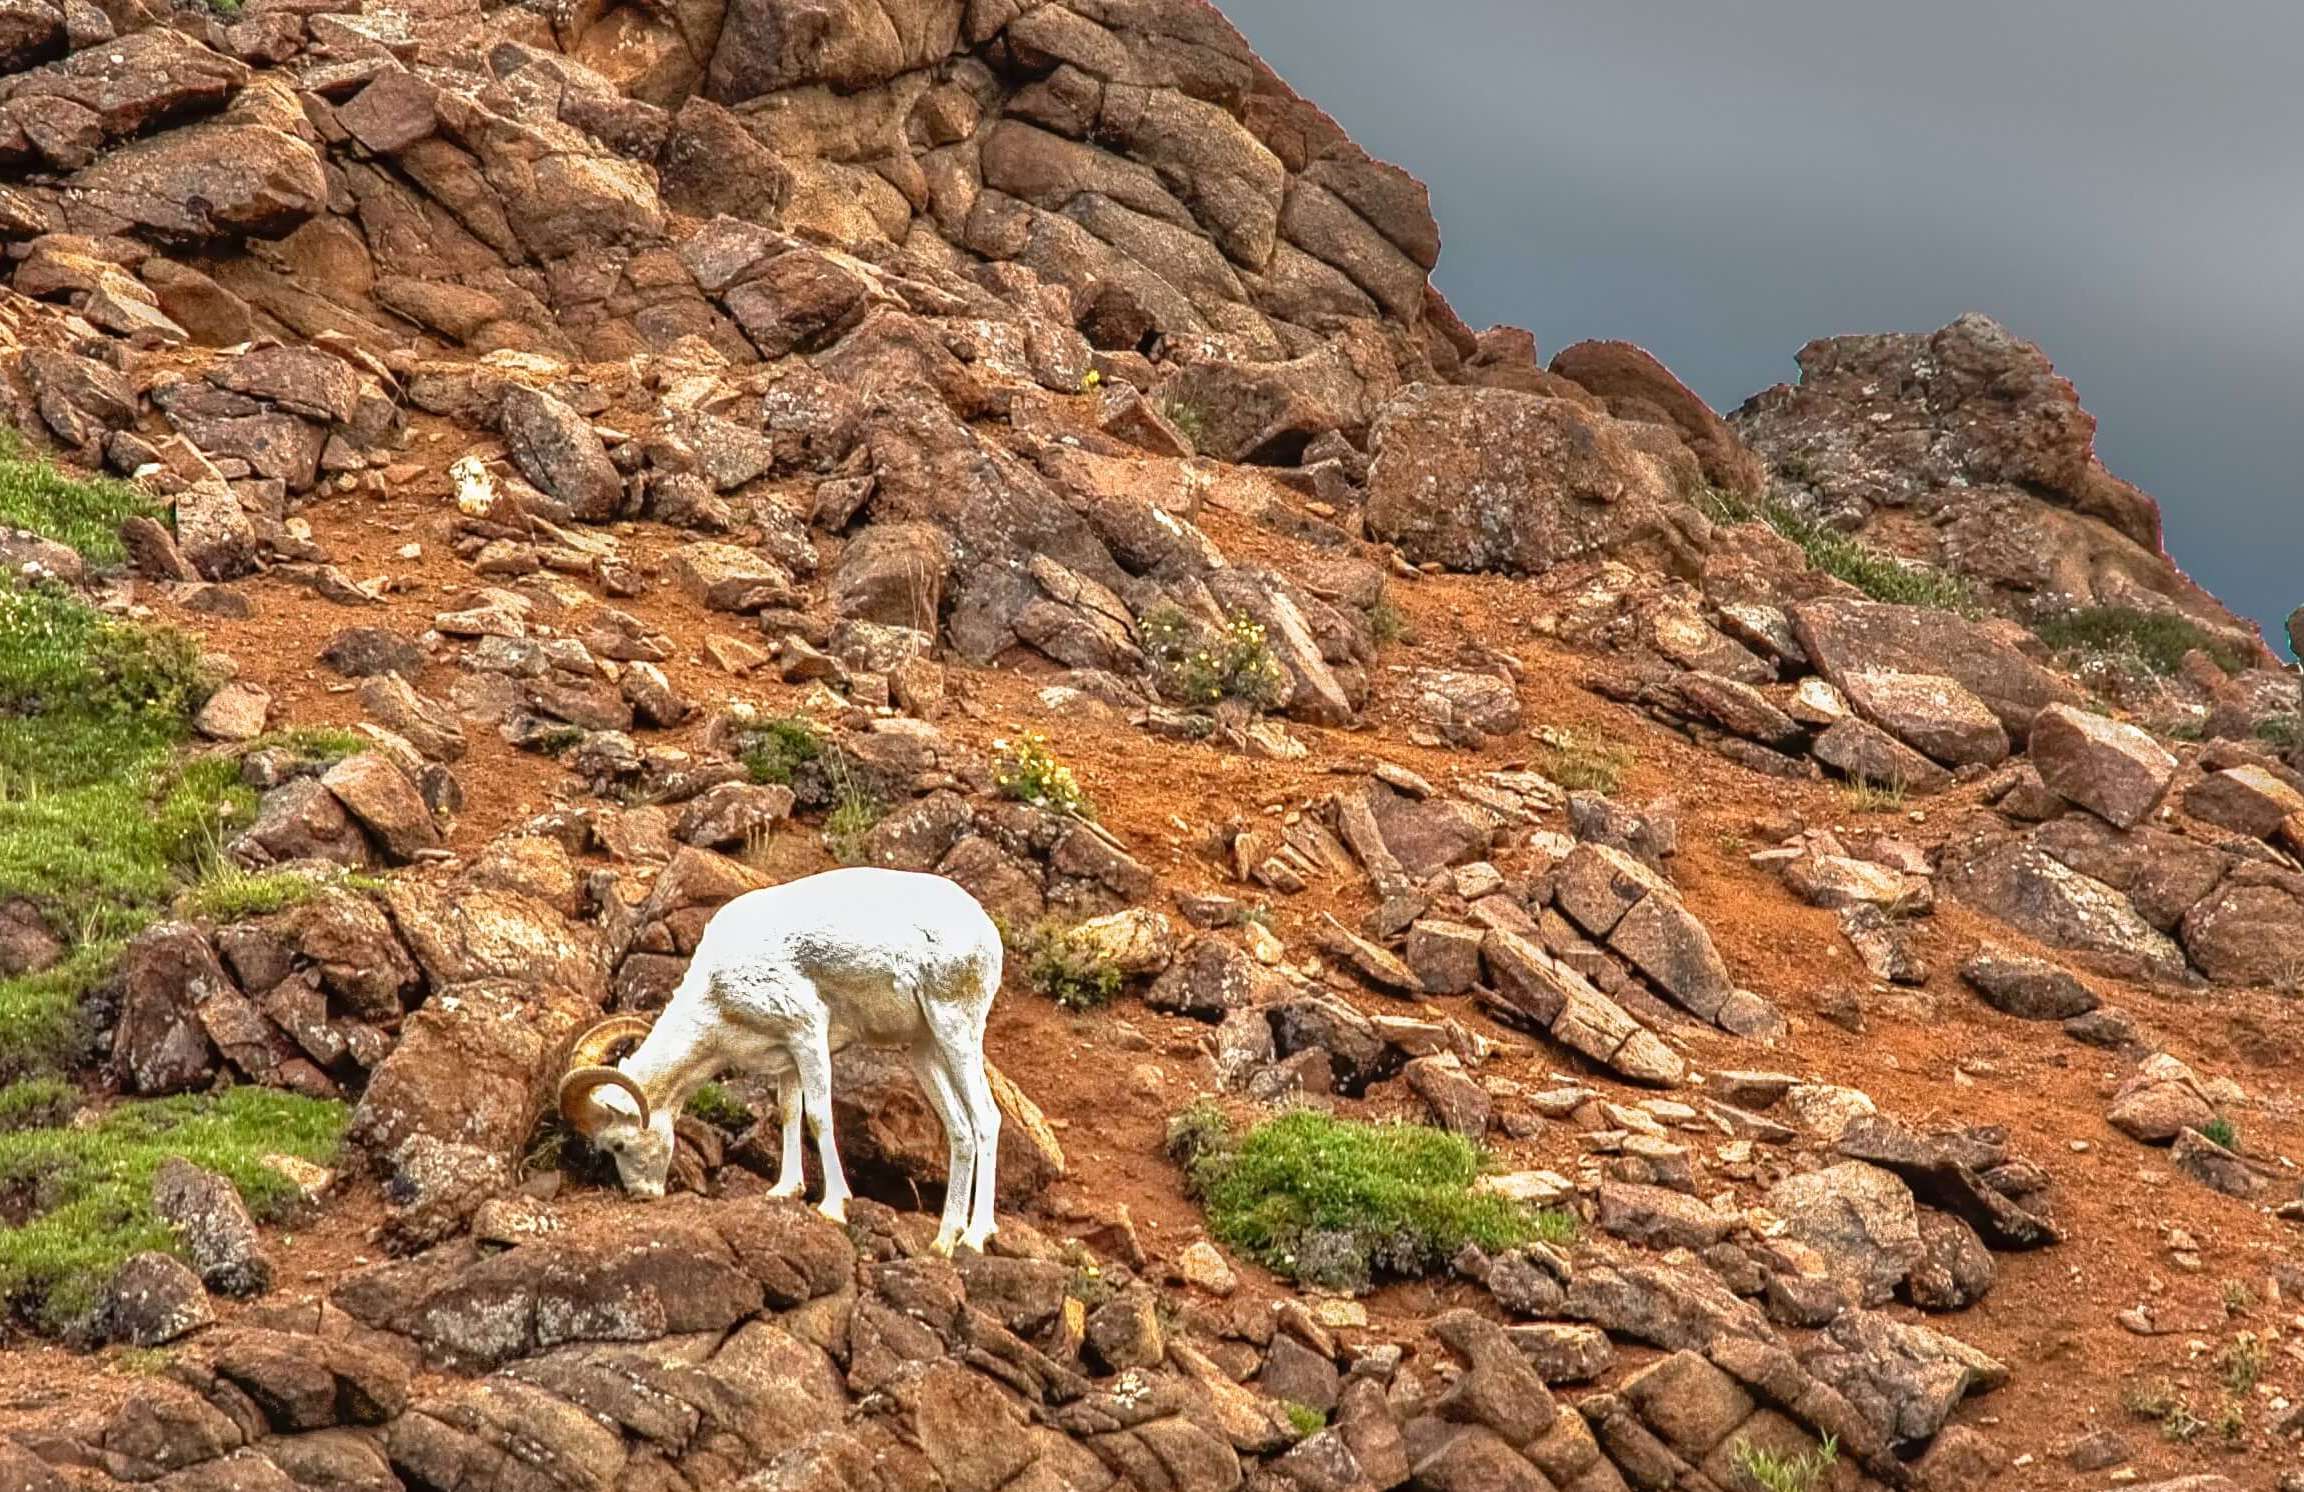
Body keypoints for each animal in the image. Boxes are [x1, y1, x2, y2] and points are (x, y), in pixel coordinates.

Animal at [562, 870, 1004, 1252]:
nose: (642, 1196)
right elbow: (790, 1114)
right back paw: (944, 1241)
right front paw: (785, 1191)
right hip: (922, 1048)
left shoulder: (808, 1034)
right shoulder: (788, 1058)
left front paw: (833, 1206)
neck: (716, 996)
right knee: (960, 1129)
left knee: (985, 1119)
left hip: (955, 1028)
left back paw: (974, 1238)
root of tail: (985, 929)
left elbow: (819, 1117)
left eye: (617, 1144)